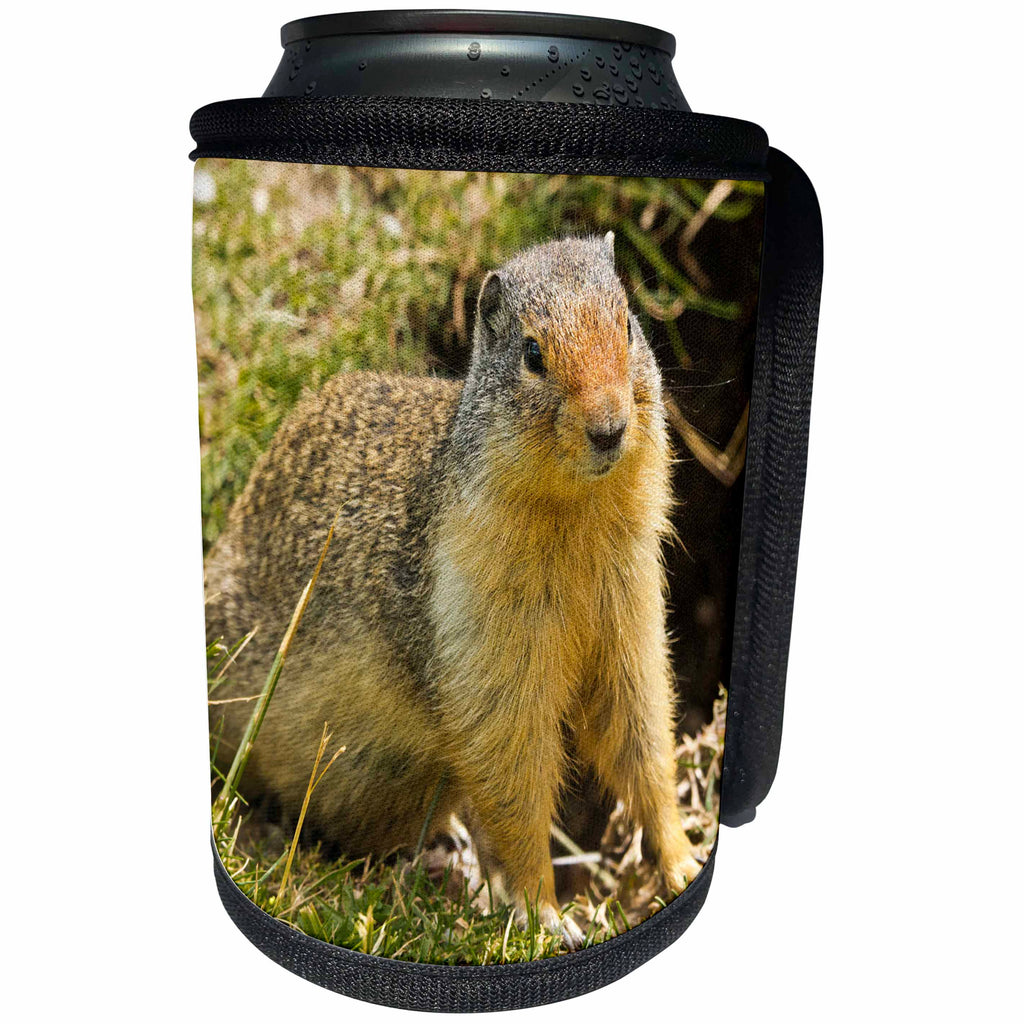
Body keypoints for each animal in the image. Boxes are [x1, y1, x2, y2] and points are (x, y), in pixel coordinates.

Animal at [205, 234, 702, 947]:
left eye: (628, 326)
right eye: (532, 355)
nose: (609, 428)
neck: (576, 521)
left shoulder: (630, 616)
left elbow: (642, 736)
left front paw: (684, 861)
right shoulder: (492, 653)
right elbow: (516, 780)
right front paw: (547, 915)